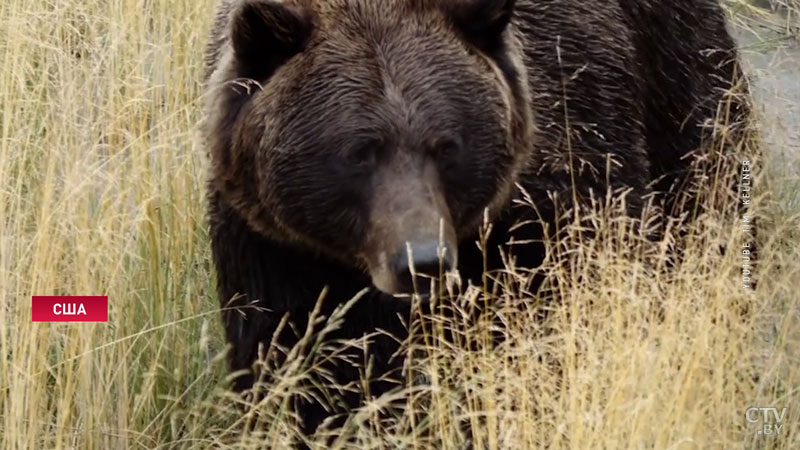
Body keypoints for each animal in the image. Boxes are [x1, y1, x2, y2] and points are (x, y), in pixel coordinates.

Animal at [202, 0, 752, 436]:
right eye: (359, 151)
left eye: (446, 145)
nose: (421, 262)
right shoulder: (277, 248)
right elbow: (296, 362)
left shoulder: (559, 186)